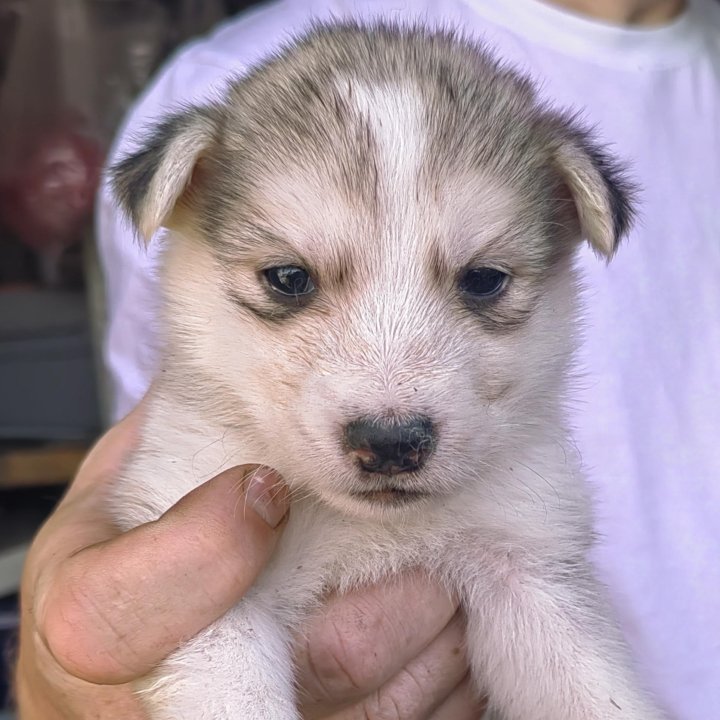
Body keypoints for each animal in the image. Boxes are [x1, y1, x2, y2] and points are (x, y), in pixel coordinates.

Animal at [109, 19, 668, 720]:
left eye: (484, 280)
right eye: (288, 278)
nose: (391, 442)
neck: (369, 531)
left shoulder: (529, 559)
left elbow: (592, 692)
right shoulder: (207, 578)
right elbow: (235, 693)